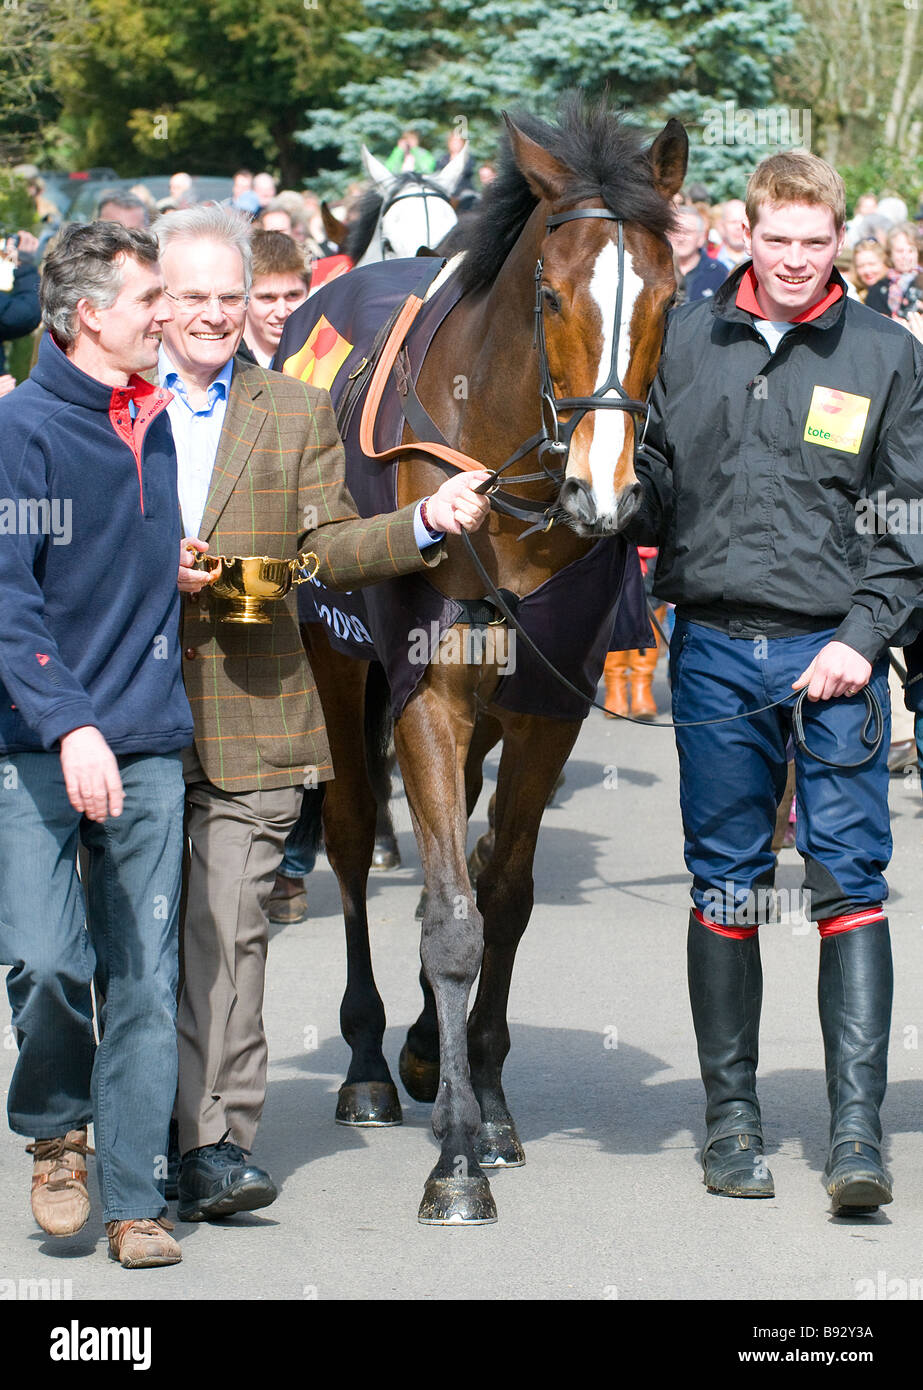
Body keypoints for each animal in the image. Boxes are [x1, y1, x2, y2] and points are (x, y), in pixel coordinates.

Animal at [303, 97, 683, 1223]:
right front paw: (459, 1158)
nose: (604, 492)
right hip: (335, 662)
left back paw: (430, 1051)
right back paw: (368, 1065)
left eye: (669, 296)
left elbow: (500, 894)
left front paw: (490, 1103)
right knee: (351, 837)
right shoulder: (427, 699)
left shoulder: (546, 709)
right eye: (550, 293)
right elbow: (449, 920)